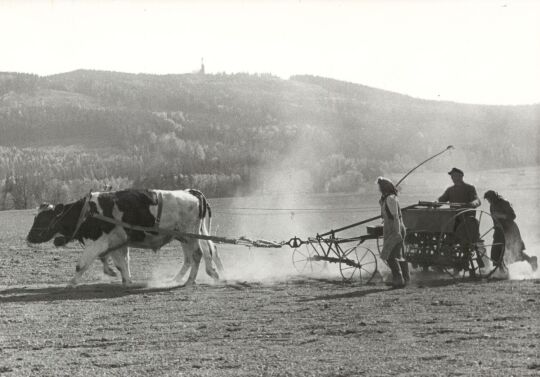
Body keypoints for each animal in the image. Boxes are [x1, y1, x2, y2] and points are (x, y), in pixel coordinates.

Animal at [24, 188, 224, 284]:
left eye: (43, 218)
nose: (29, 238)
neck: (87, 212)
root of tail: (192, 193)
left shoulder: (99, 242)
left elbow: (81, 265)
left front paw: (71, 283)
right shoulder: (115, 243)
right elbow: (121, 264)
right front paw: (126, 280)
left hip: (191, 235)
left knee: (199, 254)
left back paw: (192, 280)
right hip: (186, 237)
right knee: (196, 255)